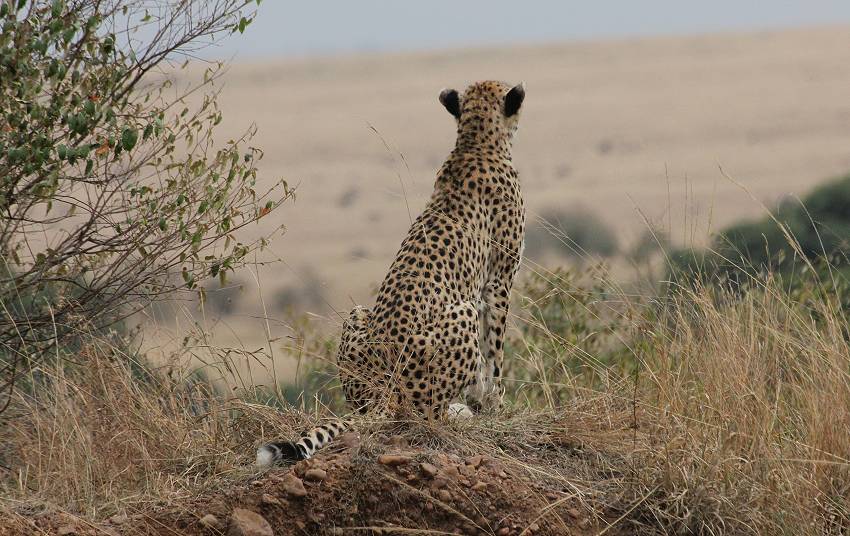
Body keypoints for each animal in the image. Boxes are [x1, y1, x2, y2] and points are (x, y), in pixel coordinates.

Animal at [255, 79, 528, 464]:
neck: (475, 142)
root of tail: (388, 390)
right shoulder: (498, 281)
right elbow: (495, 352)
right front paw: (495, 405)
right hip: (461, 312)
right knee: (427, 414)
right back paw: (458, 412)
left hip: (358, 316)